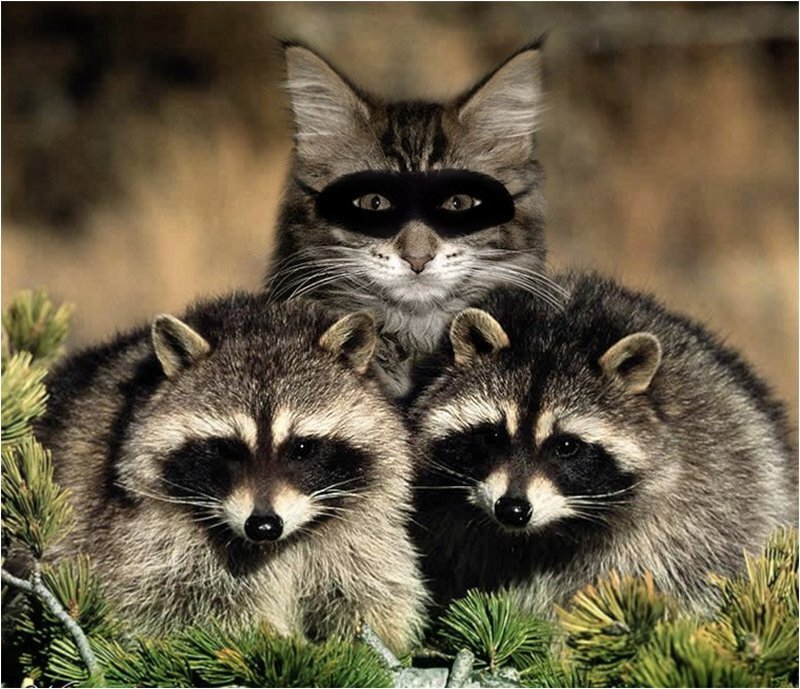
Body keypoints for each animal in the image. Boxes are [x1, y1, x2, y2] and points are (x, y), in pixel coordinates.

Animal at [33, 293, 427, 653]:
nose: (264, 526)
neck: (274, 546)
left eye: (301, 448)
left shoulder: (361, 533)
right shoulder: (140, 535)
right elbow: (174, 606)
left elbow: (369, 593)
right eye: (227, 449)